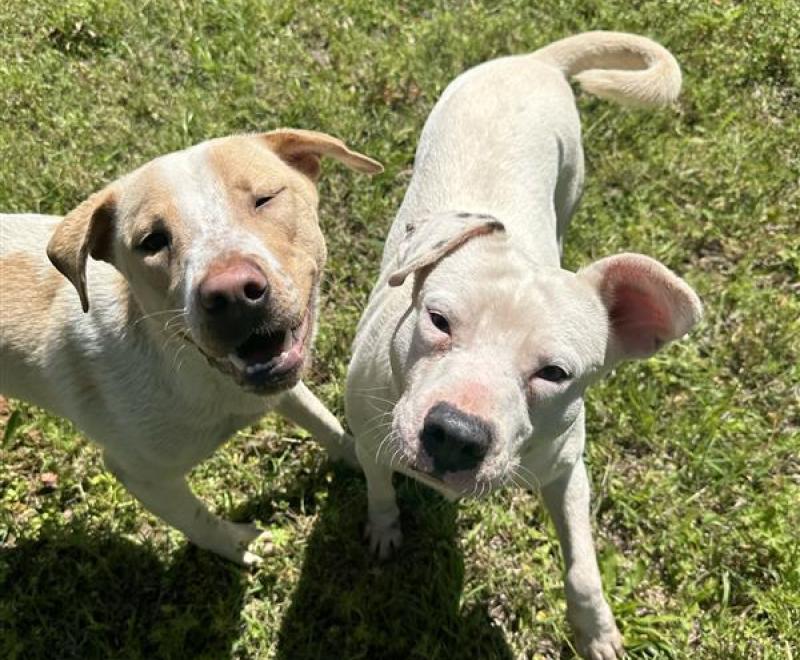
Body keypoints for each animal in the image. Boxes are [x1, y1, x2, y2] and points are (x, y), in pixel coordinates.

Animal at [0, 127, 382, 564]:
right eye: (151, 241)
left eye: (265, 198)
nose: (232, 294)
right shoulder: (141, 474)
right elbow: (198, 520)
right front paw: (242, 546)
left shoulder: (281, 384)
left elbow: (325, 422)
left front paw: (361, 458)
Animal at [346, 32, 700, 660]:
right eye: (438, 319)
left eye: (554, 373)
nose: (456, 436)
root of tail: (535, 61)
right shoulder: (368, 437)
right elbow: (380, 486)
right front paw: (384, 530)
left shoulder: (566, 471)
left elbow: (582, 565)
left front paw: (596, 629)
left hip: (572, 177)